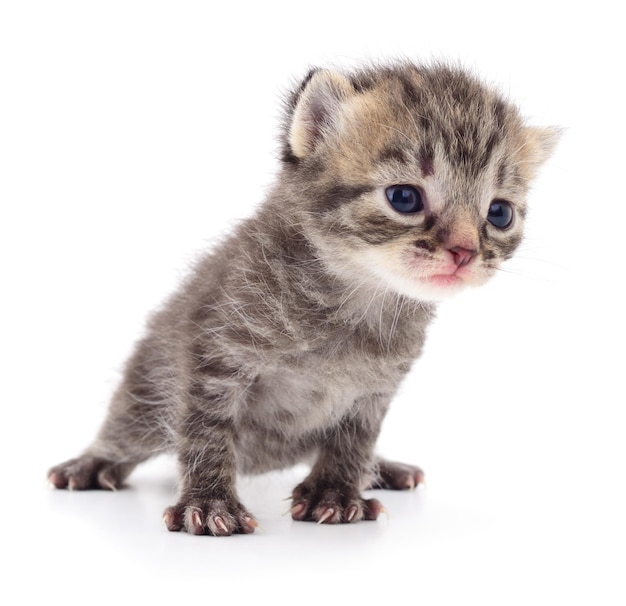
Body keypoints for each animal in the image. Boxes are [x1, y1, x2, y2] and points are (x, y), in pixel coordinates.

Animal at [47, 61, 556, 536]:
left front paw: (336, 489)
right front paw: (209, 503)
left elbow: (354, 440)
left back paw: (381, 468)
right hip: (145, 388)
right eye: (404, 198)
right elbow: (205, 429)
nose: (465, 252)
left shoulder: (376, 390)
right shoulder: (214, 356)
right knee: (126, 428)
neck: (357, 299)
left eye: (499, 212)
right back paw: (92, 463)